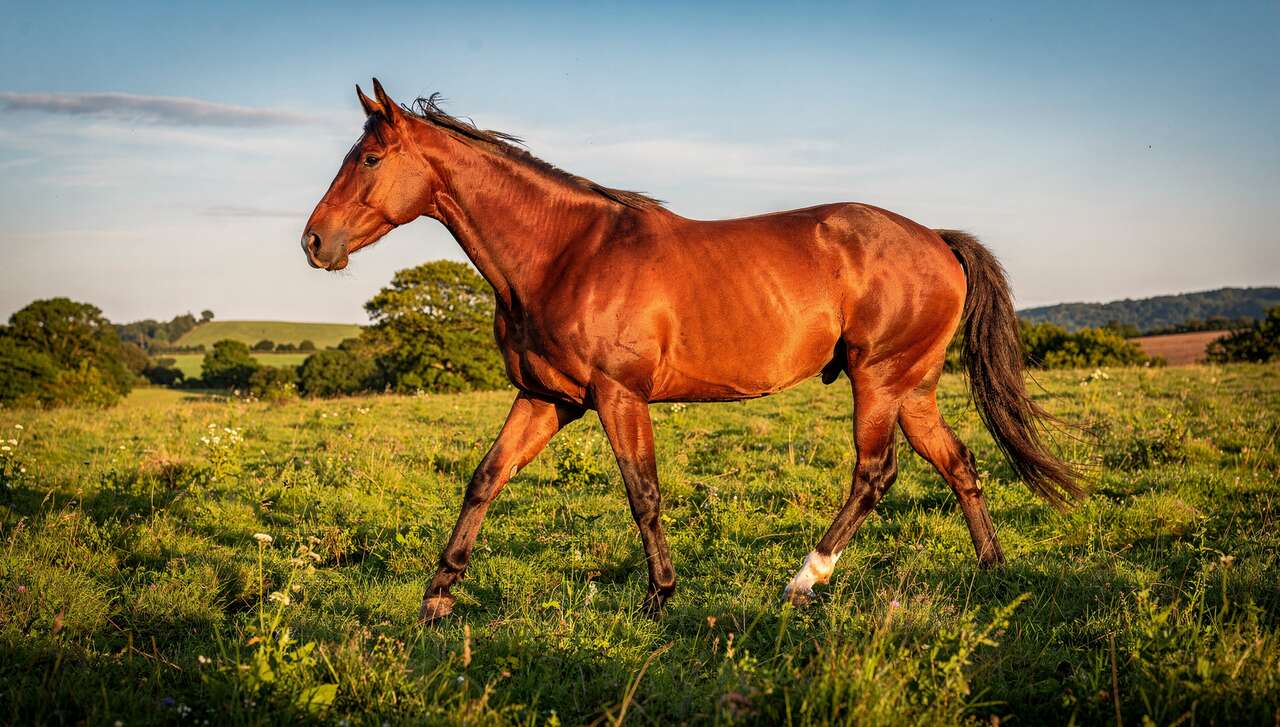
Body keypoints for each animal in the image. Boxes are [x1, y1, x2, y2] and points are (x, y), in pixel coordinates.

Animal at [302, 79, 1084, 622]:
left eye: (369, 158)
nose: (314, 242)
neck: (564, 253)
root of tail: (936, 240)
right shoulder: (547, 398)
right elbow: (485, 478)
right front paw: (437, 597)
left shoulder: (619, 396)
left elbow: (642, 493)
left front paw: (659, 597)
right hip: (912, 389)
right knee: (959, 464)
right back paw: (992, 569)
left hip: (879, 383)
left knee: (874, 474)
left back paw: (804, 580)